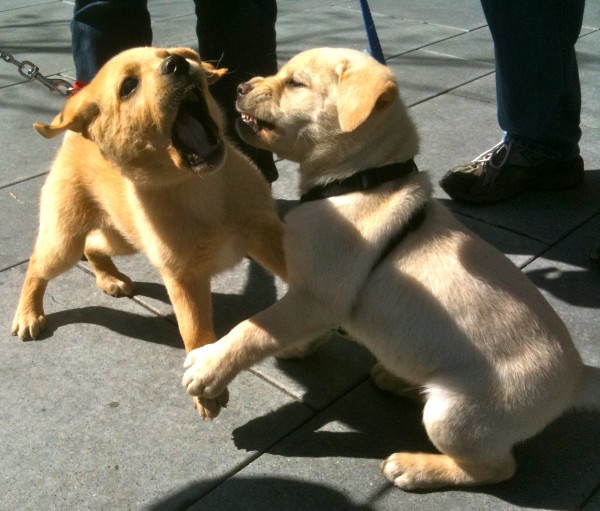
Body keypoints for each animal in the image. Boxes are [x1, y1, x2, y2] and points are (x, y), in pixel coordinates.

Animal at [12, 46, 286, 420]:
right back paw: (28, 314)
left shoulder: (266, 232)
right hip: (64, 241)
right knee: (37, 265)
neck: (197, 187)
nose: (178, 64)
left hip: (121, 235)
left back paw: (110, 279)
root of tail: (76, 132)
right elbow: (194, 328)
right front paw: (207, 381)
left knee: (94, 245)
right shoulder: (182, 275)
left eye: (167, 54)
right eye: (128, 87)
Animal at [182, 48, 600, 488]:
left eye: (296, 83)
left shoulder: (316, 297)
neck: (361, 180)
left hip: (455, 414)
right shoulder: (319, 299)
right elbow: (289, 330)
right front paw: (295, 346)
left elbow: (255, 328)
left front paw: (209, 367)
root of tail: (578, 377)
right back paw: (397, 379)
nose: (240, 87)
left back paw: (414, 467)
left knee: (495, 469)